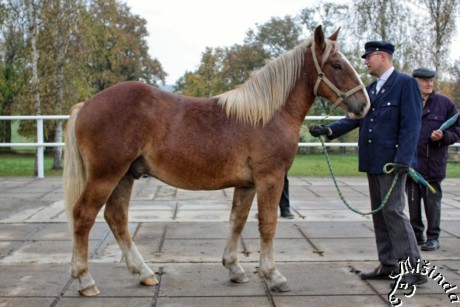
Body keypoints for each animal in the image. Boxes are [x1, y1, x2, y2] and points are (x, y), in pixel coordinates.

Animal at [63, 25, 368, 296]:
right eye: (337, 65)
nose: (364, 105)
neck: (266, 114)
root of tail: (86, 105)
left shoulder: (247, 184)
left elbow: (238, 221)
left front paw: (234, 269)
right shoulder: (270, 179)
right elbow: (267, 223)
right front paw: (273, 275)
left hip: (125, 175)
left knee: (117, 218)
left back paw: (145, 273)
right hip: (106, 175)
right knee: (83, 215)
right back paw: (85, 280)